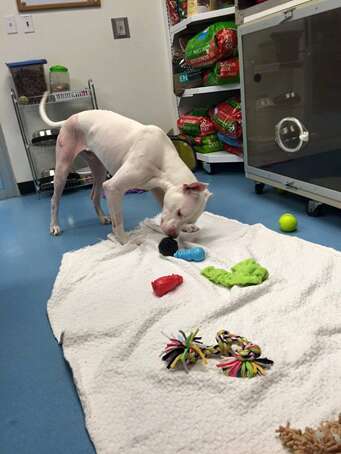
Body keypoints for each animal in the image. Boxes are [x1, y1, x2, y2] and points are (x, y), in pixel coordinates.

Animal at [39, 93, 210, 245]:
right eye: (180, 212)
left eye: (186, 217)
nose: (172, 236)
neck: (162, 157)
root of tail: (71, 117)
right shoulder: (112, 188)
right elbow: (118, 221)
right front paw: (126, 242)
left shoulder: (158, 189)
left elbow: (162, 202)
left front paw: (187, 227)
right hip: (63, 169)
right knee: (54, 200)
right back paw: (54, 226)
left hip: (99, 170)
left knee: (94, 195)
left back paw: (102, 218)